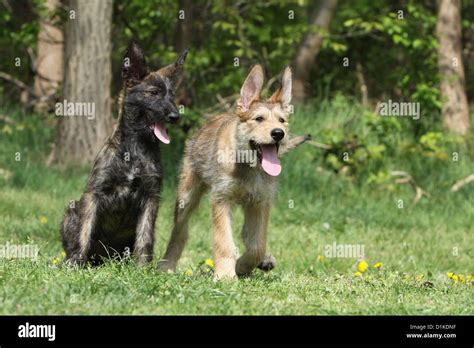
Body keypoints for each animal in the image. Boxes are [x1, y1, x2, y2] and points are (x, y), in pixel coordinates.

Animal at [58, 40, 186, 266]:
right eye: (154, 93)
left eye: (171, 95)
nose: (175, 116)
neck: (134, 149)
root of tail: (104, 259)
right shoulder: (94, 193)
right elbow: (85, 230)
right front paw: (76, 262)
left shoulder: (151, 197)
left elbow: (145, 237)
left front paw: (142, 267)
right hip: (72, 210)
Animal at [157, 64, 310, 278]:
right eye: (259, 119)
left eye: (282, 120)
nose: (278, 133)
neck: (249, 166)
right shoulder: (221, 199)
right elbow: (224, 241)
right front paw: (225, 275)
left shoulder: (260, 204)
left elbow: (257, 245)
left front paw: (242, 266)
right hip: (186, 197)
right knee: (179, 231)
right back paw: (167, 265)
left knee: (248, 235)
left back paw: (264, 260)